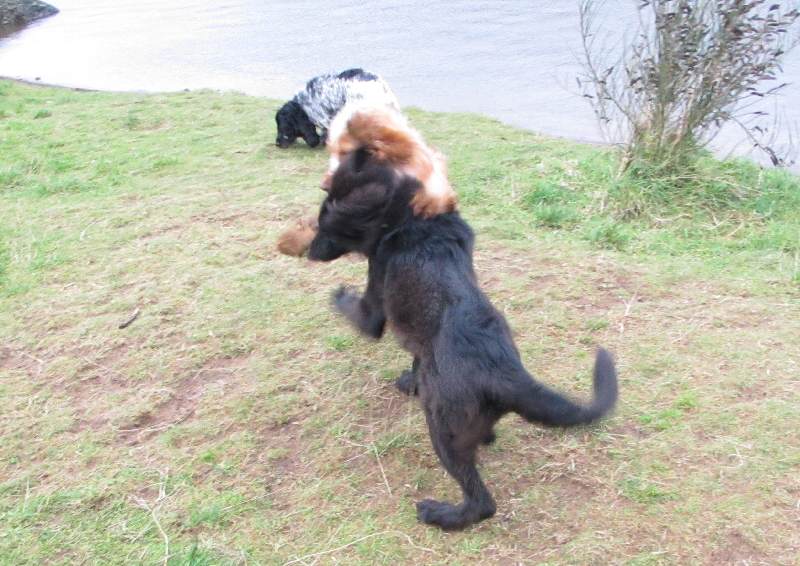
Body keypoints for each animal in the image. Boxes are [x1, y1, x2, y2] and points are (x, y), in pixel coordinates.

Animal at [308, 148, 620, 532]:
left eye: (323, 221)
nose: (308, 250)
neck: (412, 219)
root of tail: (507, 373)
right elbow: (416, 358)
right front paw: (410, 381)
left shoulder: (374, 298)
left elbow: (360, 315)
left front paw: (338, 296)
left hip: (443, 430)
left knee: (482, 502)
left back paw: (441, 515)